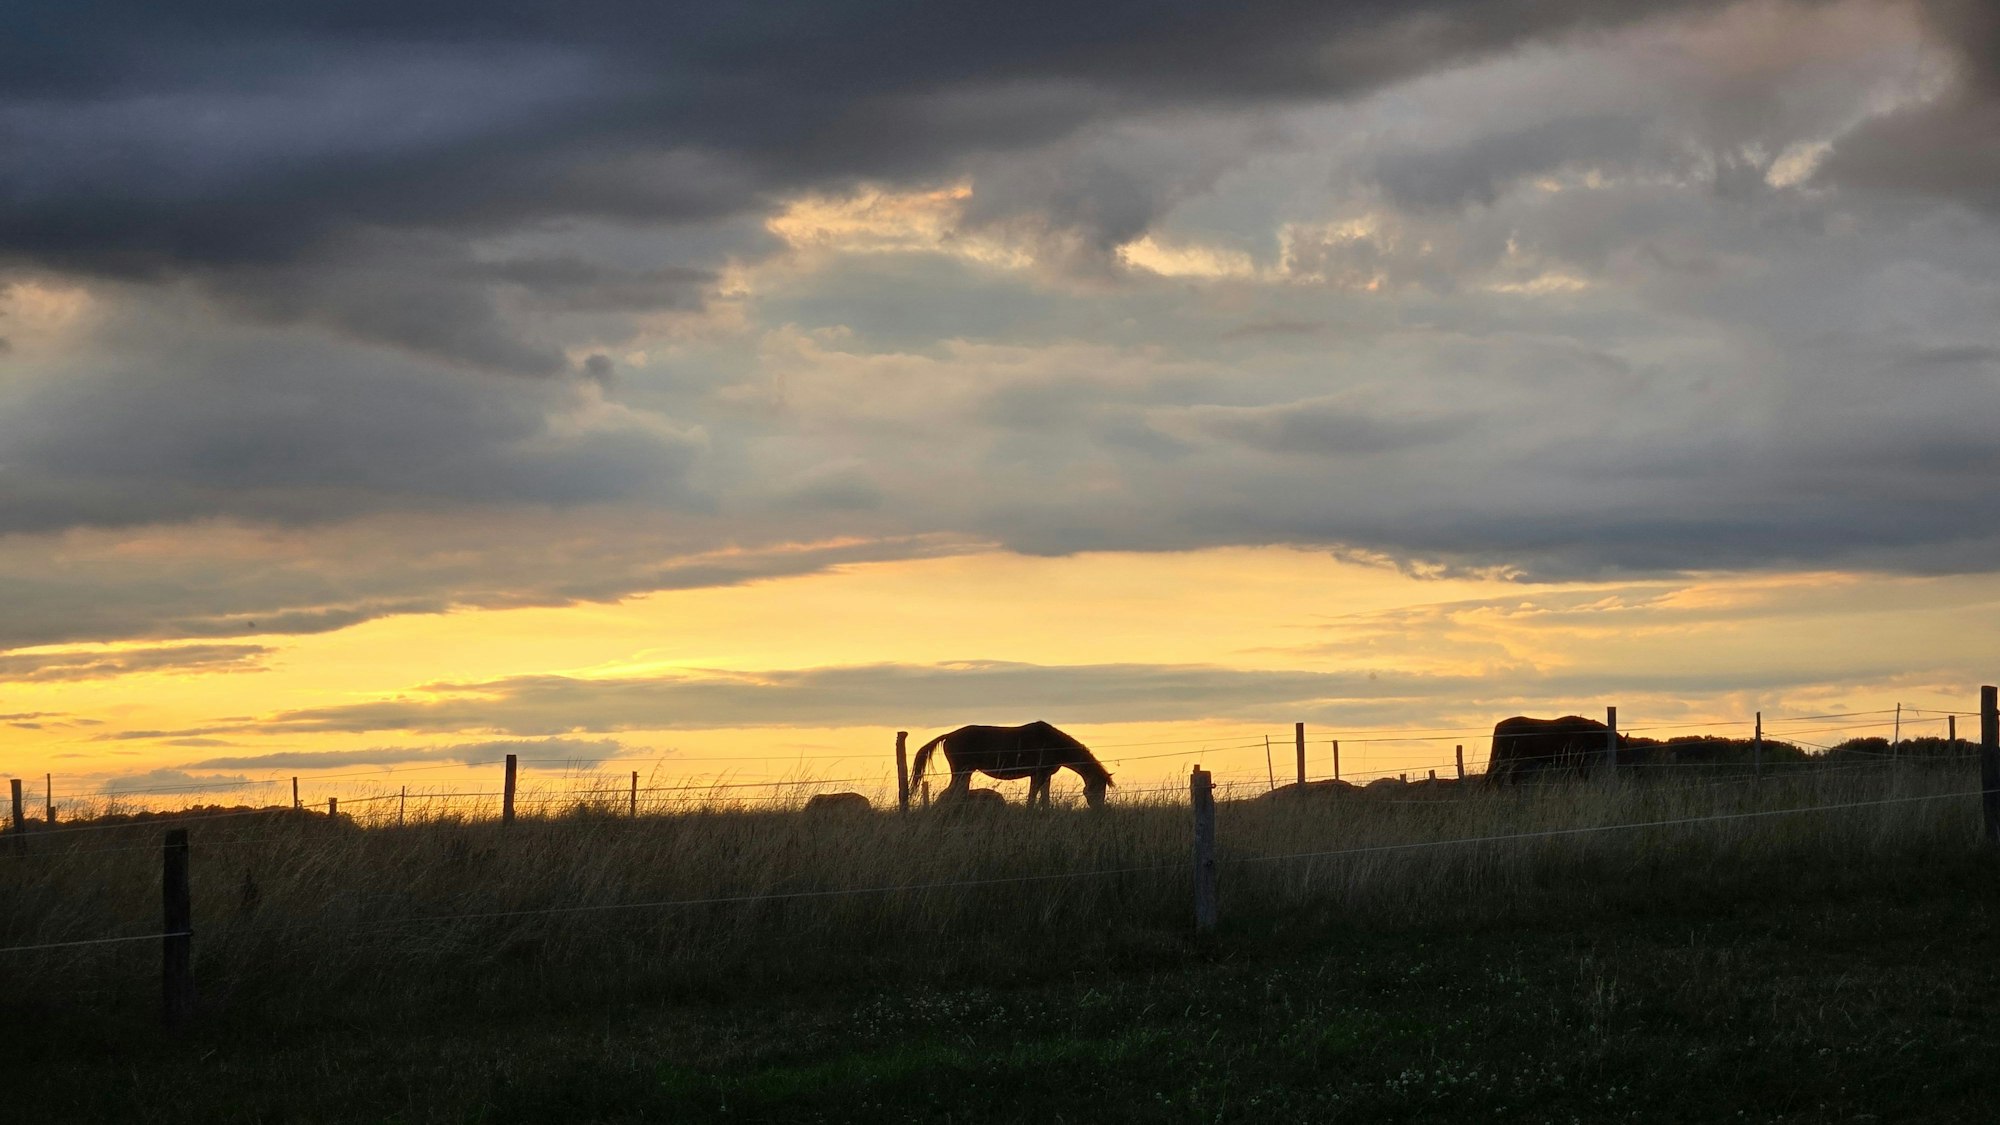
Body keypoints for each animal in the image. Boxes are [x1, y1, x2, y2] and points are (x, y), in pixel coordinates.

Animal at [909, 721, 1113, 809]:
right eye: (1097, 789)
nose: (1099, 810)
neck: (1053, 743)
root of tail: (948, 736)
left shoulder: (1044, 775)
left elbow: (1043, 798)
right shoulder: (1039, 774)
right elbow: (1033, 797)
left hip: (965, 772)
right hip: (961, 771)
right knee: (952, 793)